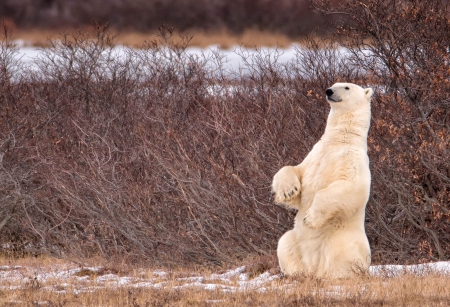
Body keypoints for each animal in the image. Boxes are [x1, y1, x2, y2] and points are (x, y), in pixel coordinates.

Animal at [272, 83, 374, 280]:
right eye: (334, 85)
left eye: (346, 87)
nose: (329, 91)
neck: (339, 140)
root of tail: (313, 267)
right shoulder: (314, 156)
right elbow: (295, 171)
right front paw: (288, 191)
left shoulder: (353, 161)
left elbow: (351, 186)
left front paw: (309, 218)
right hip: (295, 240)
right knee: (284, 243)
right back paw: (297, 274)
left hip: (341, 238)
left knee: (341, 255)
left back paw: (336, 276)